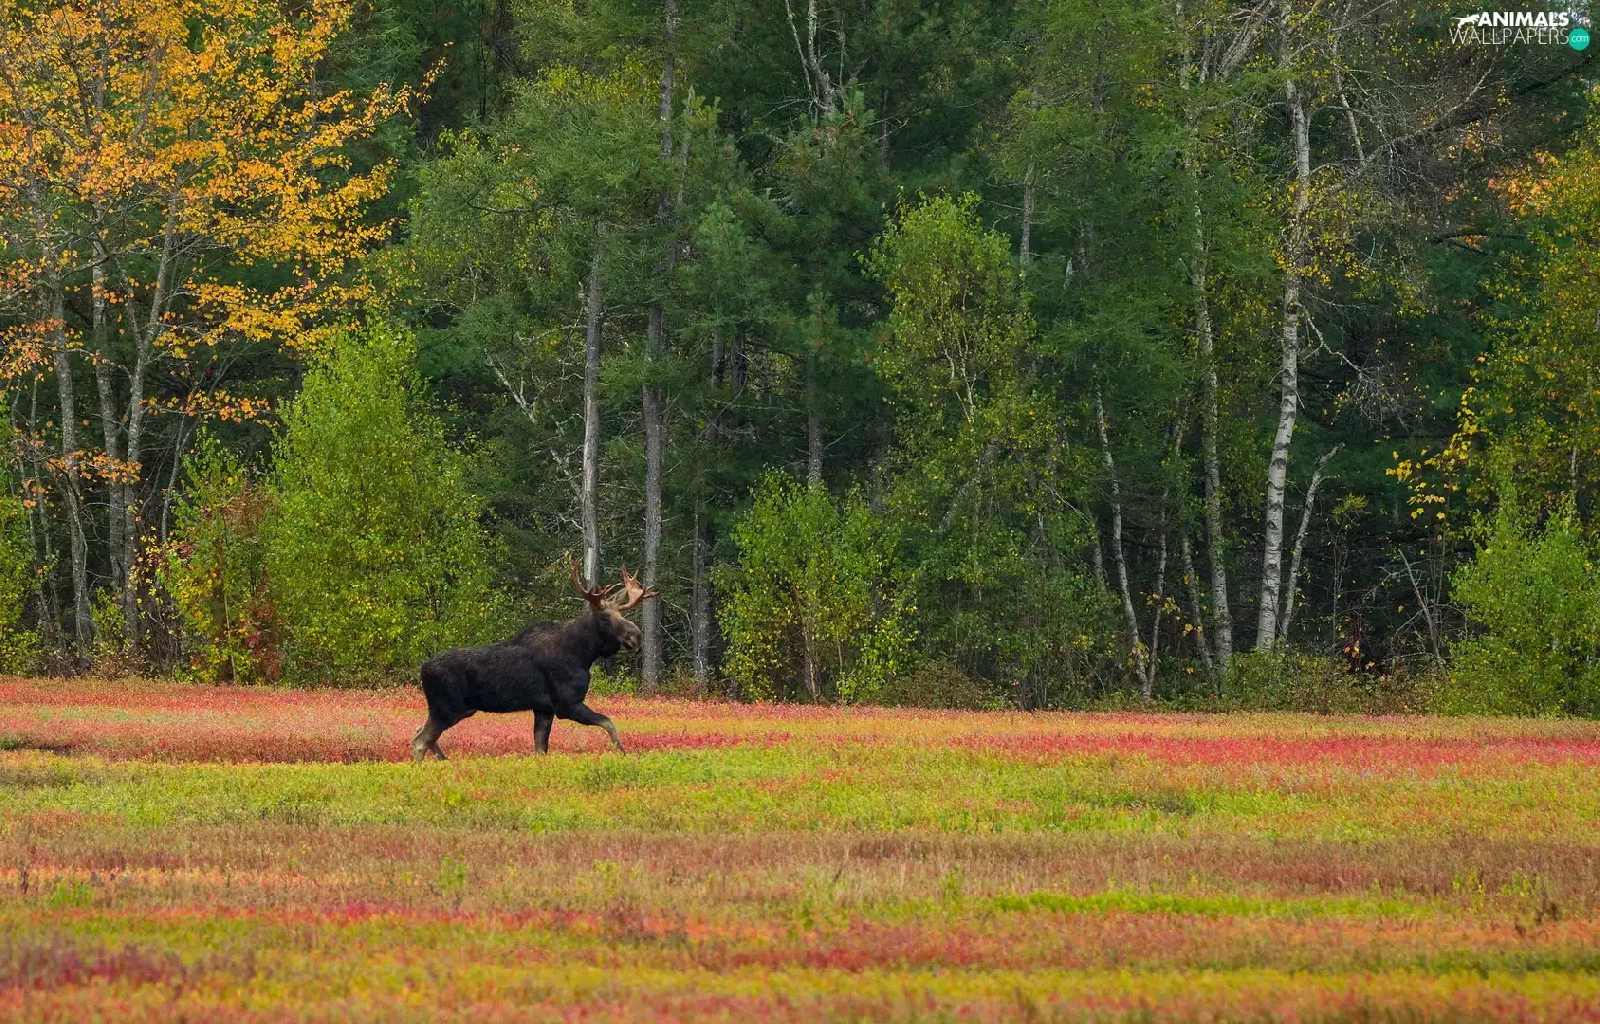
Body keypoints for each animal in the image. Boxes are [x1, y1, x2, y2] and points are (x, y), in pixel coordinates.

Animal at [411, 558, 658, 760]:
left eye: (621, 613)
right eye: (605, 616)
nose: (636, 636)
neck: (583, 654)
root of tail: (422, 669)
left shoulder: (543, 709)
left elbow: (541, 750)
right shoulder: (567, 704)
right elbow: (609, 722)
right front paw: (623, 753)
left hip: (454, 710)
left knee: (420, 734)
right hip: (447, 708)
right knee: (420, 741)